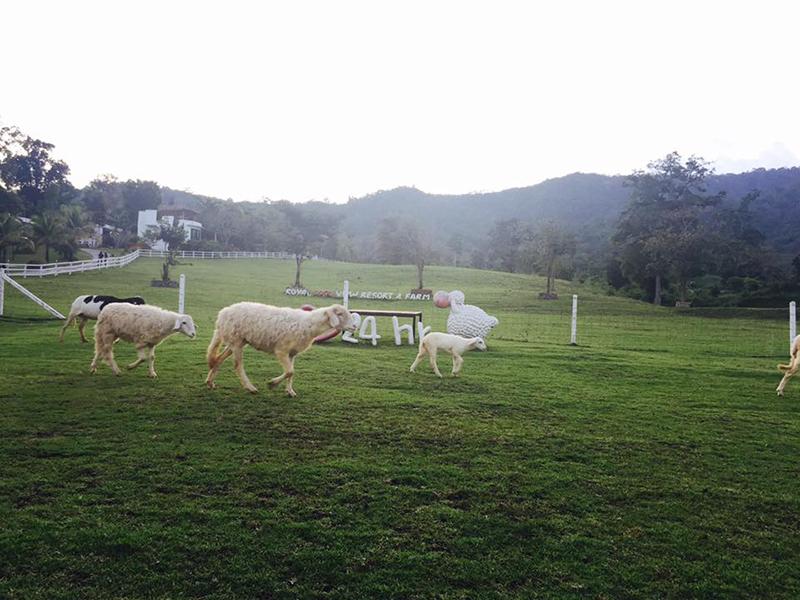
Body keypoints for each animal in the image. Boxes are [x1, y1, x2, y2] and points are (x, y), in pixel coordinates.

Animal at [206, 302, 356, 396]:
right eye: (340, 314)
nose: (355, 326)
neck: (309, 324)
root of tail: (222, 314)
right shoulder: (281, 350)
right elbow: (289, 371)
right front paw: (271, 384)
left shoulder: (292, 353)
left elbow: (291, 373)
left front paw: (289, 391)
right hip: (236, 341)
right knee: (237, 365)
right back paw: (250, 388)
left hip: (235, 341)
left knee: (218, 359)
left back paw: (210, 383)